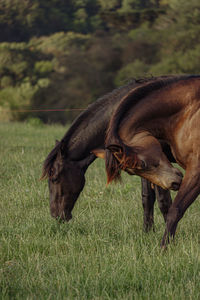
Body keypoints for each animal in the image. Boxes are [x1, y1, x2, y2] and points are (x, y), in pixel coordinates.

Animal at [101, 74, 200, 246]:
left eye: (142, 163)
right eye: (133, 172)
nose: (173, 182)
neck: (189, 112)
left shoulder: (196, 170)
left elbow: (176, 209)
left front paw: (164, 246)